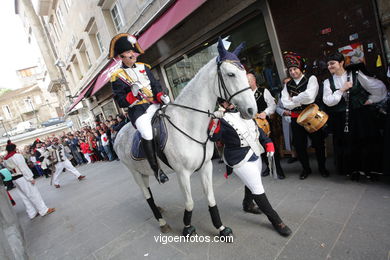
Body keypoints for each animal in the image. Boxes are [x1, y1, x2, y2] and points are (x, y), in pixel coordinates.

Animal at [114, 38, 258, 238]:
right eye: (231, 74)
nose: (252, 110)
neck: (189, 122)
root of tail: (118, 133)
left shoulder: (206, 166)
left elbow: (211, 198)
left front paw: (221, 228)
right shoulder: (182, 173)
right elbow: (189, 202)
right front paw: (187, 227)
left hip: (142, 170)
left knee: (148, 191)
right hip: (134, 172)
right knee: (146, 195)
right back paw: (161, 221)